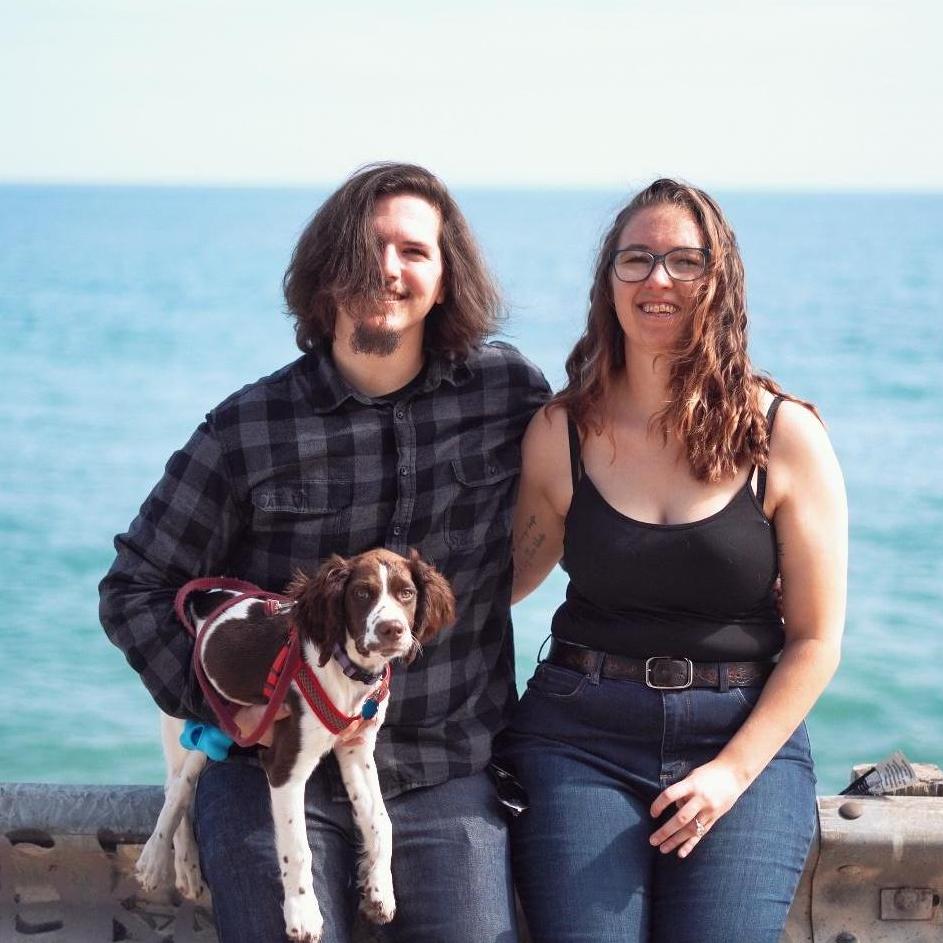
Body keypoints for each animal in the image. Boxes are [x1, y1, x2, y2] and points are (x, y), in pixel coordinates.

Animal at [134, 548, 456, 942]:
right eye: (361, 593)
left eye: (406, 593)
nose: (391, 629)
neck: (347, 671)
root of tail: (205, 596)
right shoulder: (285, 766)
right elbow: (298, 849)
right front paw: (303, 913)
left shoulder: (357, 750)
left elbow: (381, 820)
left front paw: (380, 890)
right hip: (194, 714)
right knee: (176, 786)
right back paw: (159, 860)